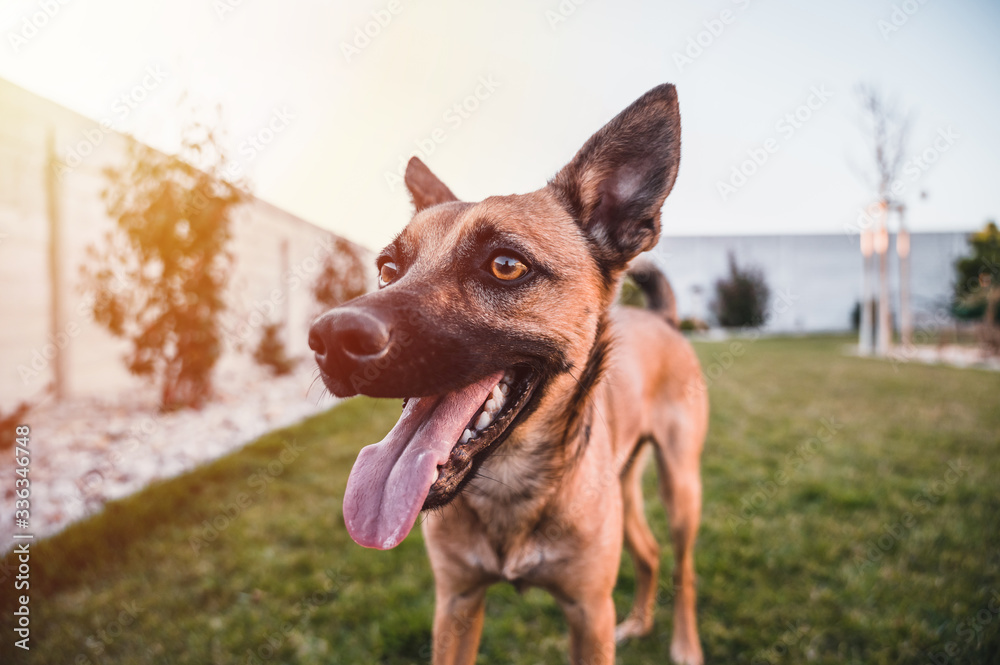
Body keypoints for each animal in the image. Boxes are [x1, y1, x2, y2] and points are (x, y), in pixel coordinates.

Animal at [308, 84, 708, 664]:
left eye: (506, 265)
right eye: (386, 270)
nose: (331, 339)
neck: (509, 483)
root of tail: (662, 320)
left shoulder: (589, 613)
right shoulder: (456, 603)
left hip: (681, 486)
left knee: (682, 563)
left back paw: (683, 643)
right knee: (650, 552)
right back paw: (638, 620)